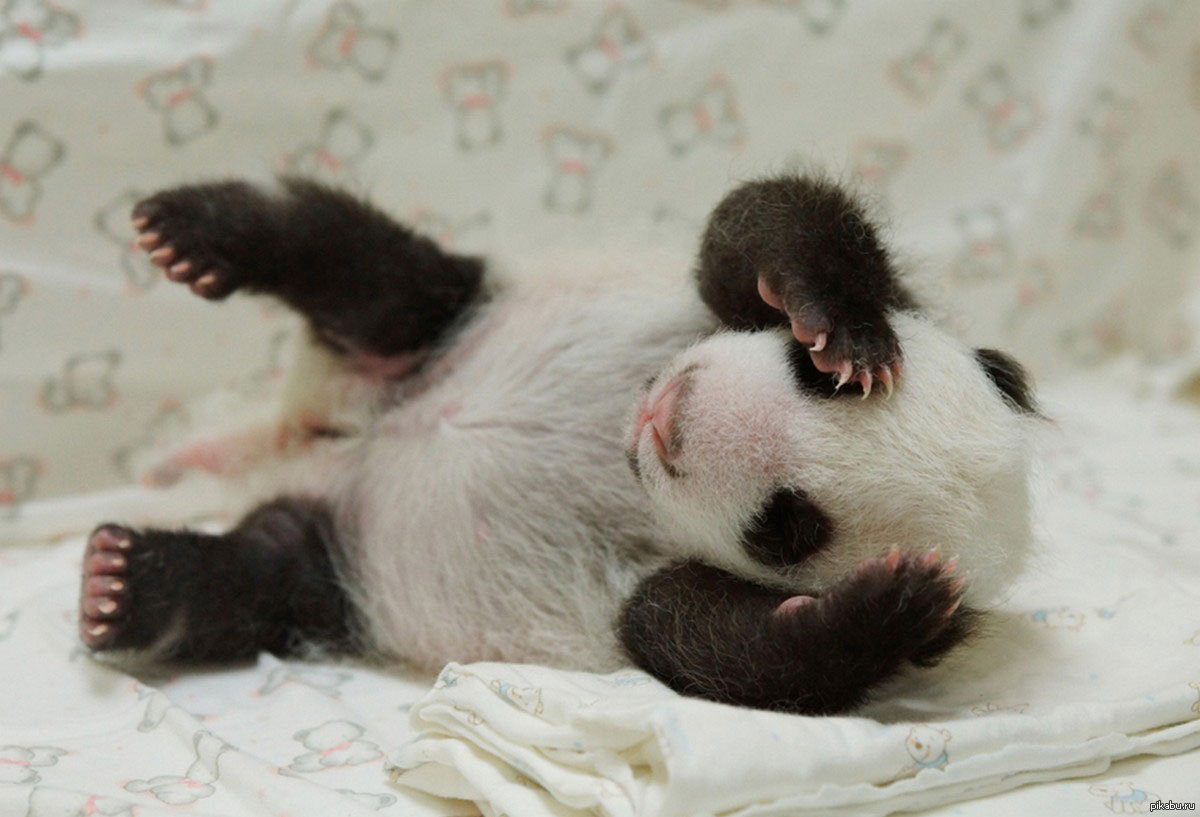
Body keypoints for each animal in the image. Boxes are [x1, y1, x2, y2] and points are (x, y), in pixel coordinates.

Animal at [75, 173, 1036, 715]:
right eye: (804, 375)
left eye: (787, 524)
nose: (674, 417)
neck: (625, 459)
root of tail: (314, 440)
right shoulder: (707, 310)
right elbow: (756, 228)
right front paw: (841, 323)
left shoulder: (661, 588)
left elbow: (718, 651)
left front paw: (894, 607)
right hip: (454, 319)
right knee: (369, 268)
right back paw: (198, 233)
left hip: (339, 571)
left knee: (264, 575)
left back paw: (126, 583)